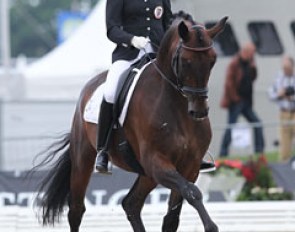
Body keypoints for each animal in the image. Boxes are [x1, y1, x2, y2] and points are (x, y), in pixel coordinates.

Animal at [34, 12, 229, 232]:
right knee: (76, 209)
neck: (177, 107)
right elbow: (193, 192)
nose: (199, 111)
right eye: (186, 61)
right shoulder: (156, 161)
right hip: (83, 159)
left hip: (147, 174)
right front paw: (211, 226)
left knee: (131, 203)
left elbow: (174, 215)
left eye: (212, 60)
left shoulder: (190, 165)